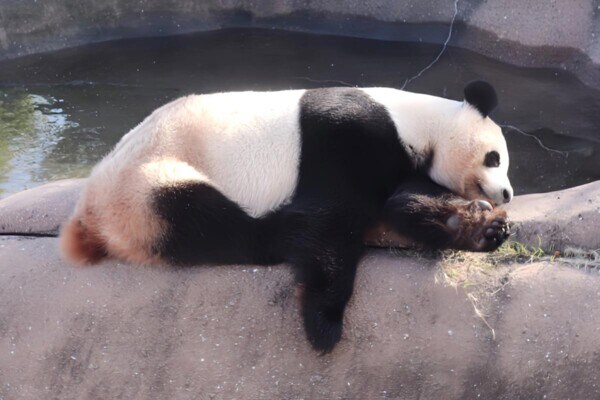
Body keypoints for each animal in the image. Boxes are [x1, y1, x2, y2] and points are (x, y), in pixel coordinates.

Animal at [59, 79, 510, 352]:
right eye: (494, 157)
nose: (506, 192)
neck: (416, 123)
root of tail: (87, 215)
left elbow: (405, 203)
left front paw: (479, 227)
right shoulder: (343, 136)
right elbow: (329, 215)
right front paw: (324, 322)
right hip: (147, 184)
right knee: (207, 221)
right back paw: (276, 228)